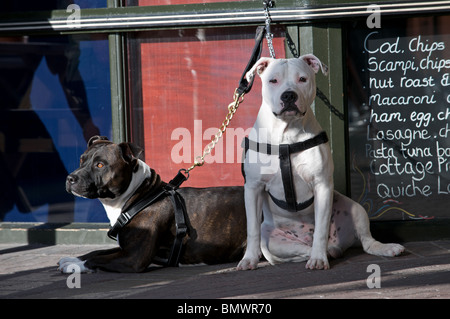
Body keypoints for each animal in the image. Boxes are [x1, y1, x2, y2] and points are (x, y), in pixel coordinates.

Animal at [237, 55, 406, 270]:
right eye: (273, 80)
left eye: (302, 79)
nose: (289, 95)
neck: (287, 136)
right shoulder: (253, 188)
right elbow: (252, 229)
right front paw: (249, 259)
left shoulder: (322, 185)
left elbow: (321, 229)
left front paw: (318, 259)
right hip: (272, 243)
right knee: (299, 249)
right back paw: (326, 252)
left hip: (355, 209)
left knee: (365, 241)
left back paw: (381, 248)